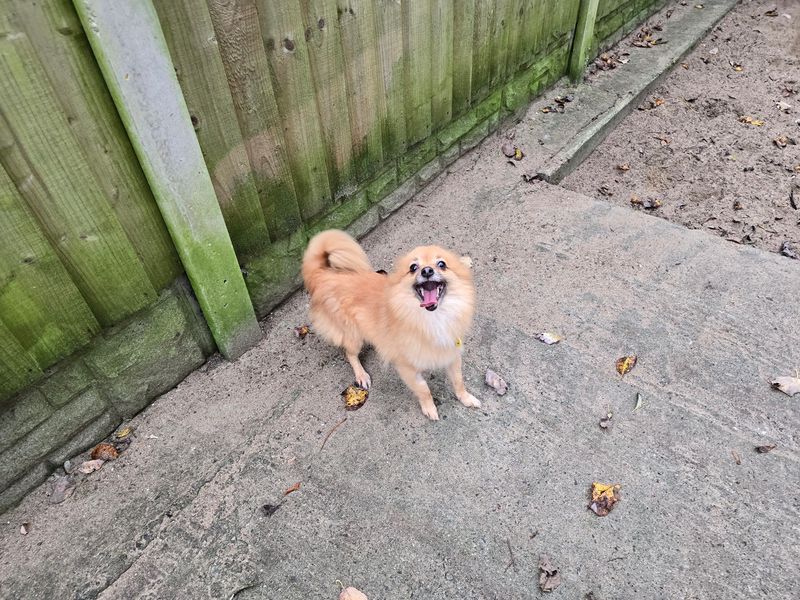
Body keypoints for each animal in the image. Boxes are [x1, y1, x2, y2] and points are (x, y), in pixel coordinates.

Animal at [298, 230, 476, 422]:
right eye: (413, 267)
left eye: (442, 264)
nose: (427, 270)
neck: (432, 319)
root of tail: (322, 274)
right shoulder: (407, 368)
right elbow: (424, 390)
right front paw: (429, 408)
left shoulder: (452, 354)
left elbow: (458, 381)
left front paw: (466, 398)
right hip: (354, 336)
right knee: (350, 354)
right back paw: (361, 374)